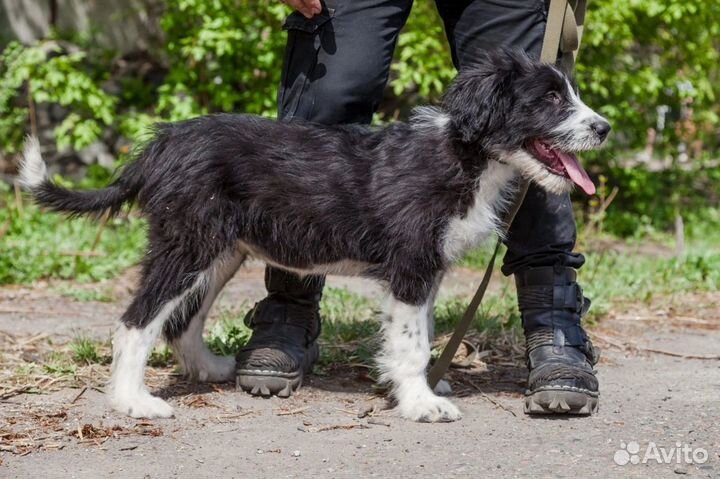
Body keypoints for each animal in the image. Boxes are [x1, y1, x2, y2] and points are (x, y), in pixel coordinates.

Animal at [21, 50, 608, 422]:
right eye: (550, 99)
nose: (604, 128)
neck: (465, 154)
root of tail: (160, 144)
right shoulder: (412, 267)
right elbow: (413, 341)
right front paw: (421, 404)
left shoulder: (426, 271)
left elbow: (417, 334)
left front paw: (419, 386)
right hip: (189, 244)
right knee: (136, 322)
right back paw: (133, 402)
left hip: (221, 251)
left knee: (181, 319)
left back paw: (209, 369)